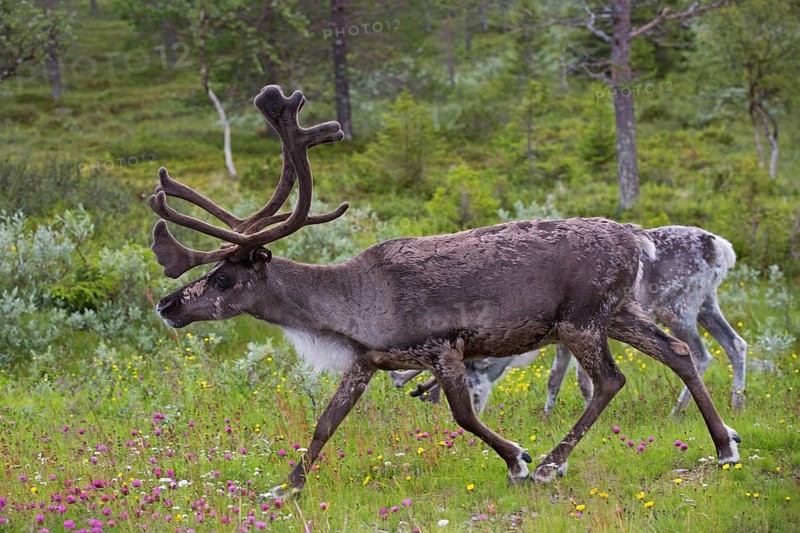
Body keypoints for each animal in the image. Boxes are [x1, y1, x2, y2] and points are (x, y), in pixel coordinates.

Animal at [391, 226, 748, 417]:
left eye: (477, 370)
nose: (476, 406)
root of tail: (720, 247)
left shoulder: (573, 330)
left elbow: (570, 378)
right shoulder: (566, 335)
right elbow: (564, 377)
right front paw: (555, 411)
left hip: (679, 306)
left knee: (700, 353)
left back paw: (679, 410)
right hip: (706, 303)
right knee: (735, 344)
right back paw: (737, 403)